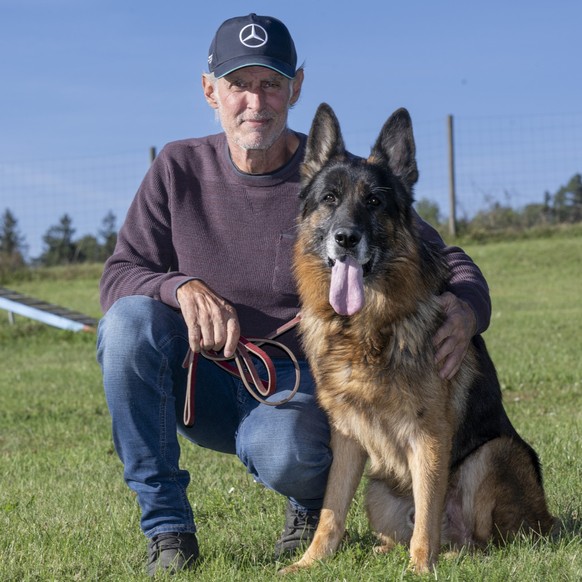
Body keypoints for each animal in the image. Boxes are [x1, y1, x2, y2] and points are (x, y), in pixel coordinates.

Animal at [280, 104, 560, 576]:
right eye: (330, 199)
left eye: (374, 201)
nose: (346, 239)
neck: (367, 327)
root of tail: (549, 521)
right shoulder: (346, 436)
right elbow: (331, 511)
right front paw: (309, 562)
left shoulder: (428, 435)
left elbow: (426, 513)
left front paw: (419, 569)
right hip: (378, 490)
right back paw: (386, 550)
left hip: (493, 455)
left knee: (476, 540)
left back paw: (446, 553)